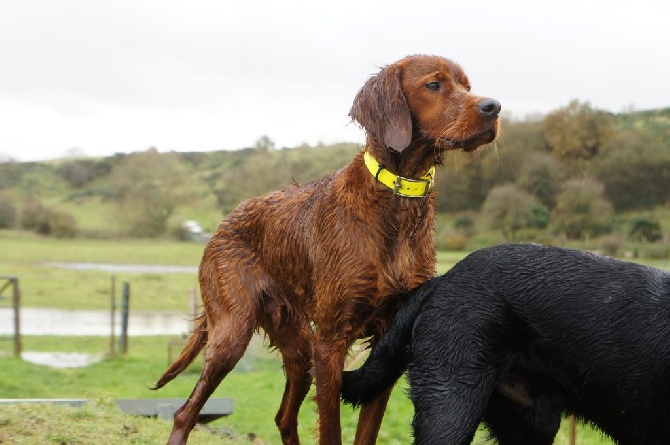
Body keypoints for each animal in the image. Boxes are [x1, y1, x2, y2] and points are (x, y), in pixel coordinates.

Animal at [152, 53, 498, 442]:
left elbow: (366, 433)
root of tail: (223, 224)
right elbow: (331, 431)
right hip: (233, 333)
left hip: (298, 345)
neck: (394, 200)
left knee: (284, 417)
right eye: (434, 84)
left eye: (467, 86)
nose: (493, 106)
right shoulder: (331, 343)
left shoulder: (387, 341)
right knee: (185, 412)